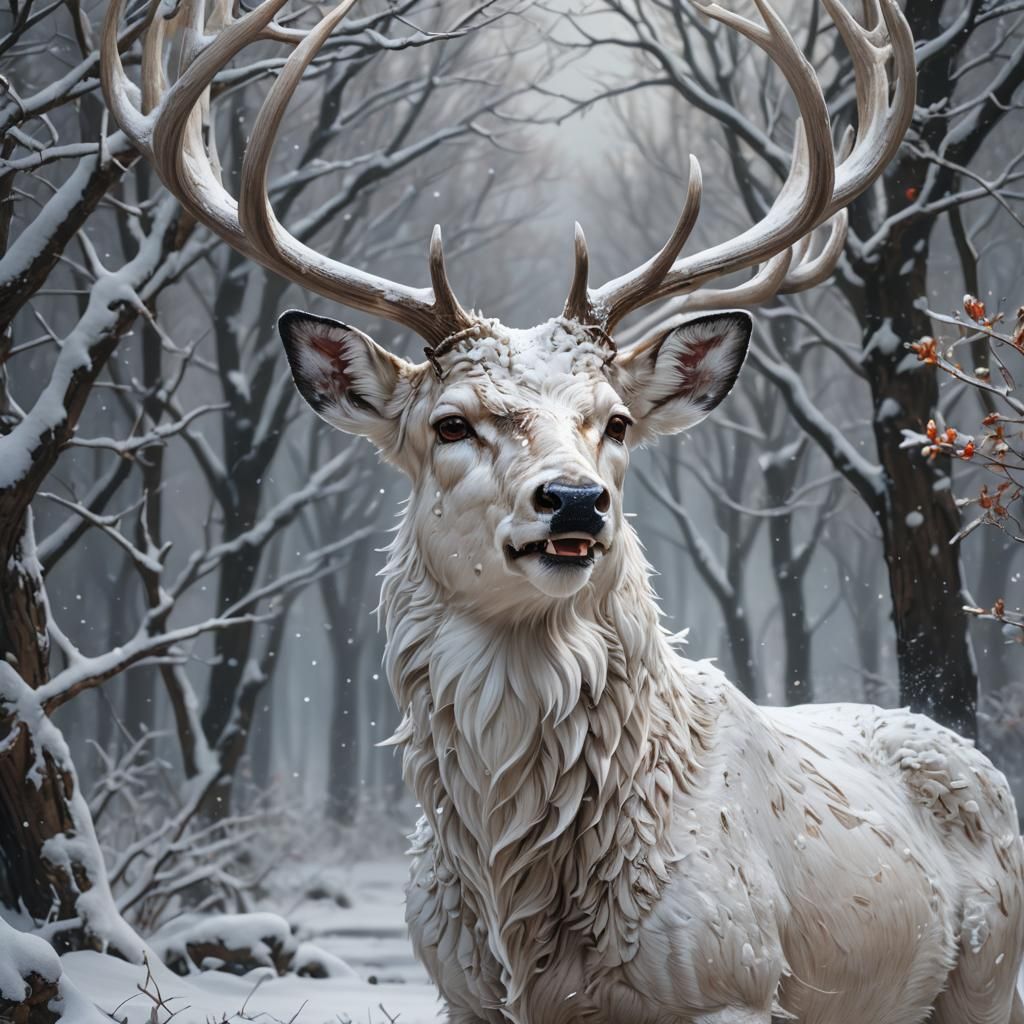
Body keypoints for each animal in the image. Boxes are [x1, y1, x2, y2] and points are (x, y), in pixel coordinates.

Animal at [101, 0, 1024, 1021]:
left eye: (615, 421)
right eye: (451, 423)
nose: (576, 498)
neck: (520, 904)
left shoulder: (731, 973)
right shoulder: (459, 989)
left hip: (990, 972)